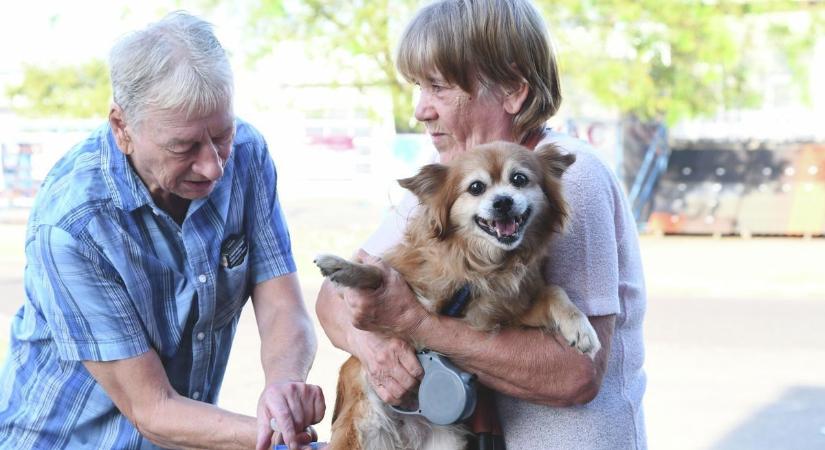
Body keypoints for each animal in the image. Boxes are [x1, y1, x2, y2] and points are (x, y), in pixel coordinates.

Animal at [316, 142, 600, 450]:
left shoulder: (502, 313)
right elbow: (377, 272)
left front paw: (580, 328)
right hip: (360, 428)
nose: (502, 202)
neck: (480, 266)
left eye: (519, 179)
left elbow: (553, 291)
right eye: (476, 187)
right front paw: (343, 267)